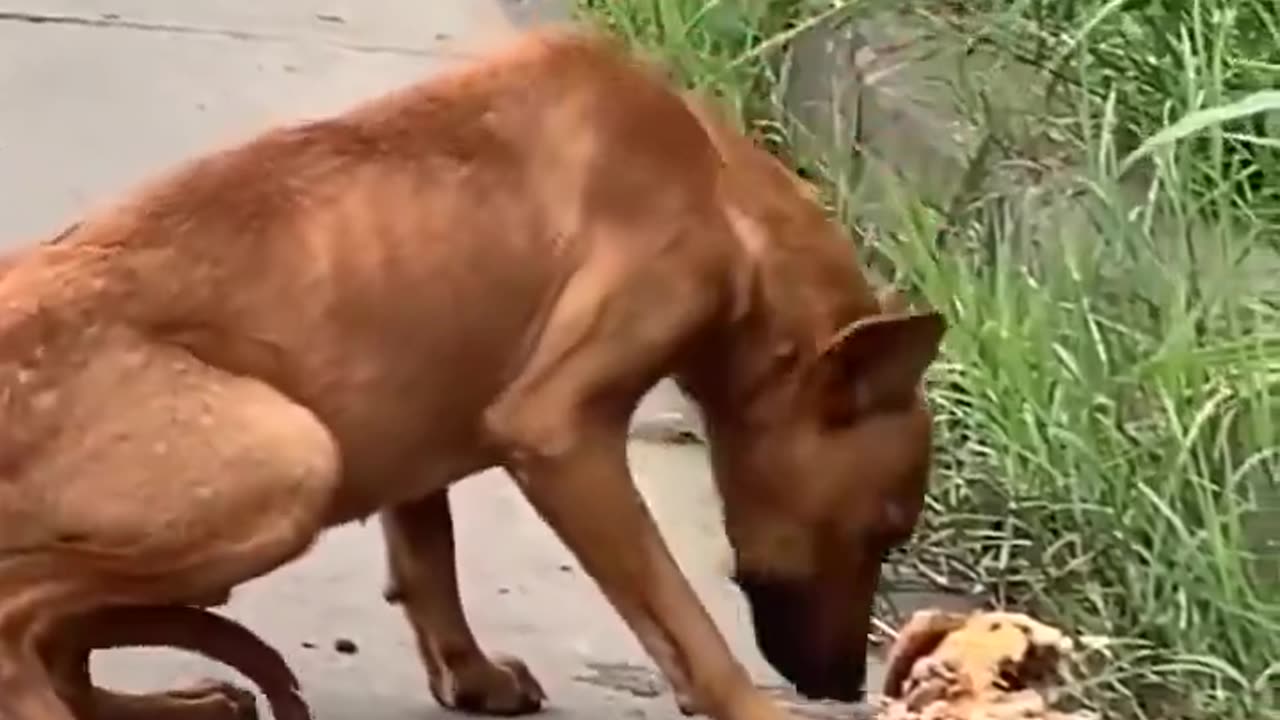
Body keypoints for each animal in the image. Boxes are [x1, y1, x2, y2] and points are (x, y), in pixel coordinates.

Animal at [0, 30, 942, 717]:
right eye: (884, 530)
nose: (844, 688)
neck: (719, 188)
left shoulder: (412, 420)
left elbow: (430, 557)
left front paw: (470, 676)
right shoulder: (558, 432)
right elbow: (682, 616)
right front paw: (748, 705)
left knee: (62, 642)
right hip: (292, 462)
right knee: (19, 620)